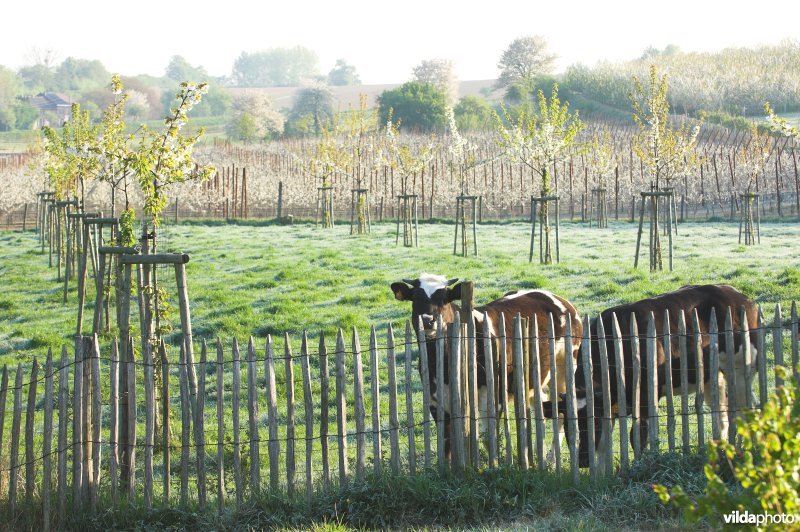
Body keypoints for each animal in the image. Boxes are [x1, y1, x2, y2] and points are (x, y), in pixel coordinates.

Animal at [390, 274, 580, 454]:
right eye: (415, 298)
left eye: (444, 299)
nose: (428, 320)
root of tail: (559, 299)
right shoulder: (436, 401)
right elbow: (447, 443)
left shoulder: (495, 397)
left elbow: (489, 438)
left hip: (565, 368)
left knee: (562, 411)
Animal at [544, 284, 756, 472]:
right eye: (567, 423)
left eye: (593, 422)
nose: (583, 461)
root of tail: (740, 296)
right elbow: (604, 444)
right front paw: (603, 476)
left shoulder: (646, 396)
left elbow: (637, 437)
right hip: (711, 377)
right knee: (722, 414)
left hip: (740, 370)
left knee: (744, 410)